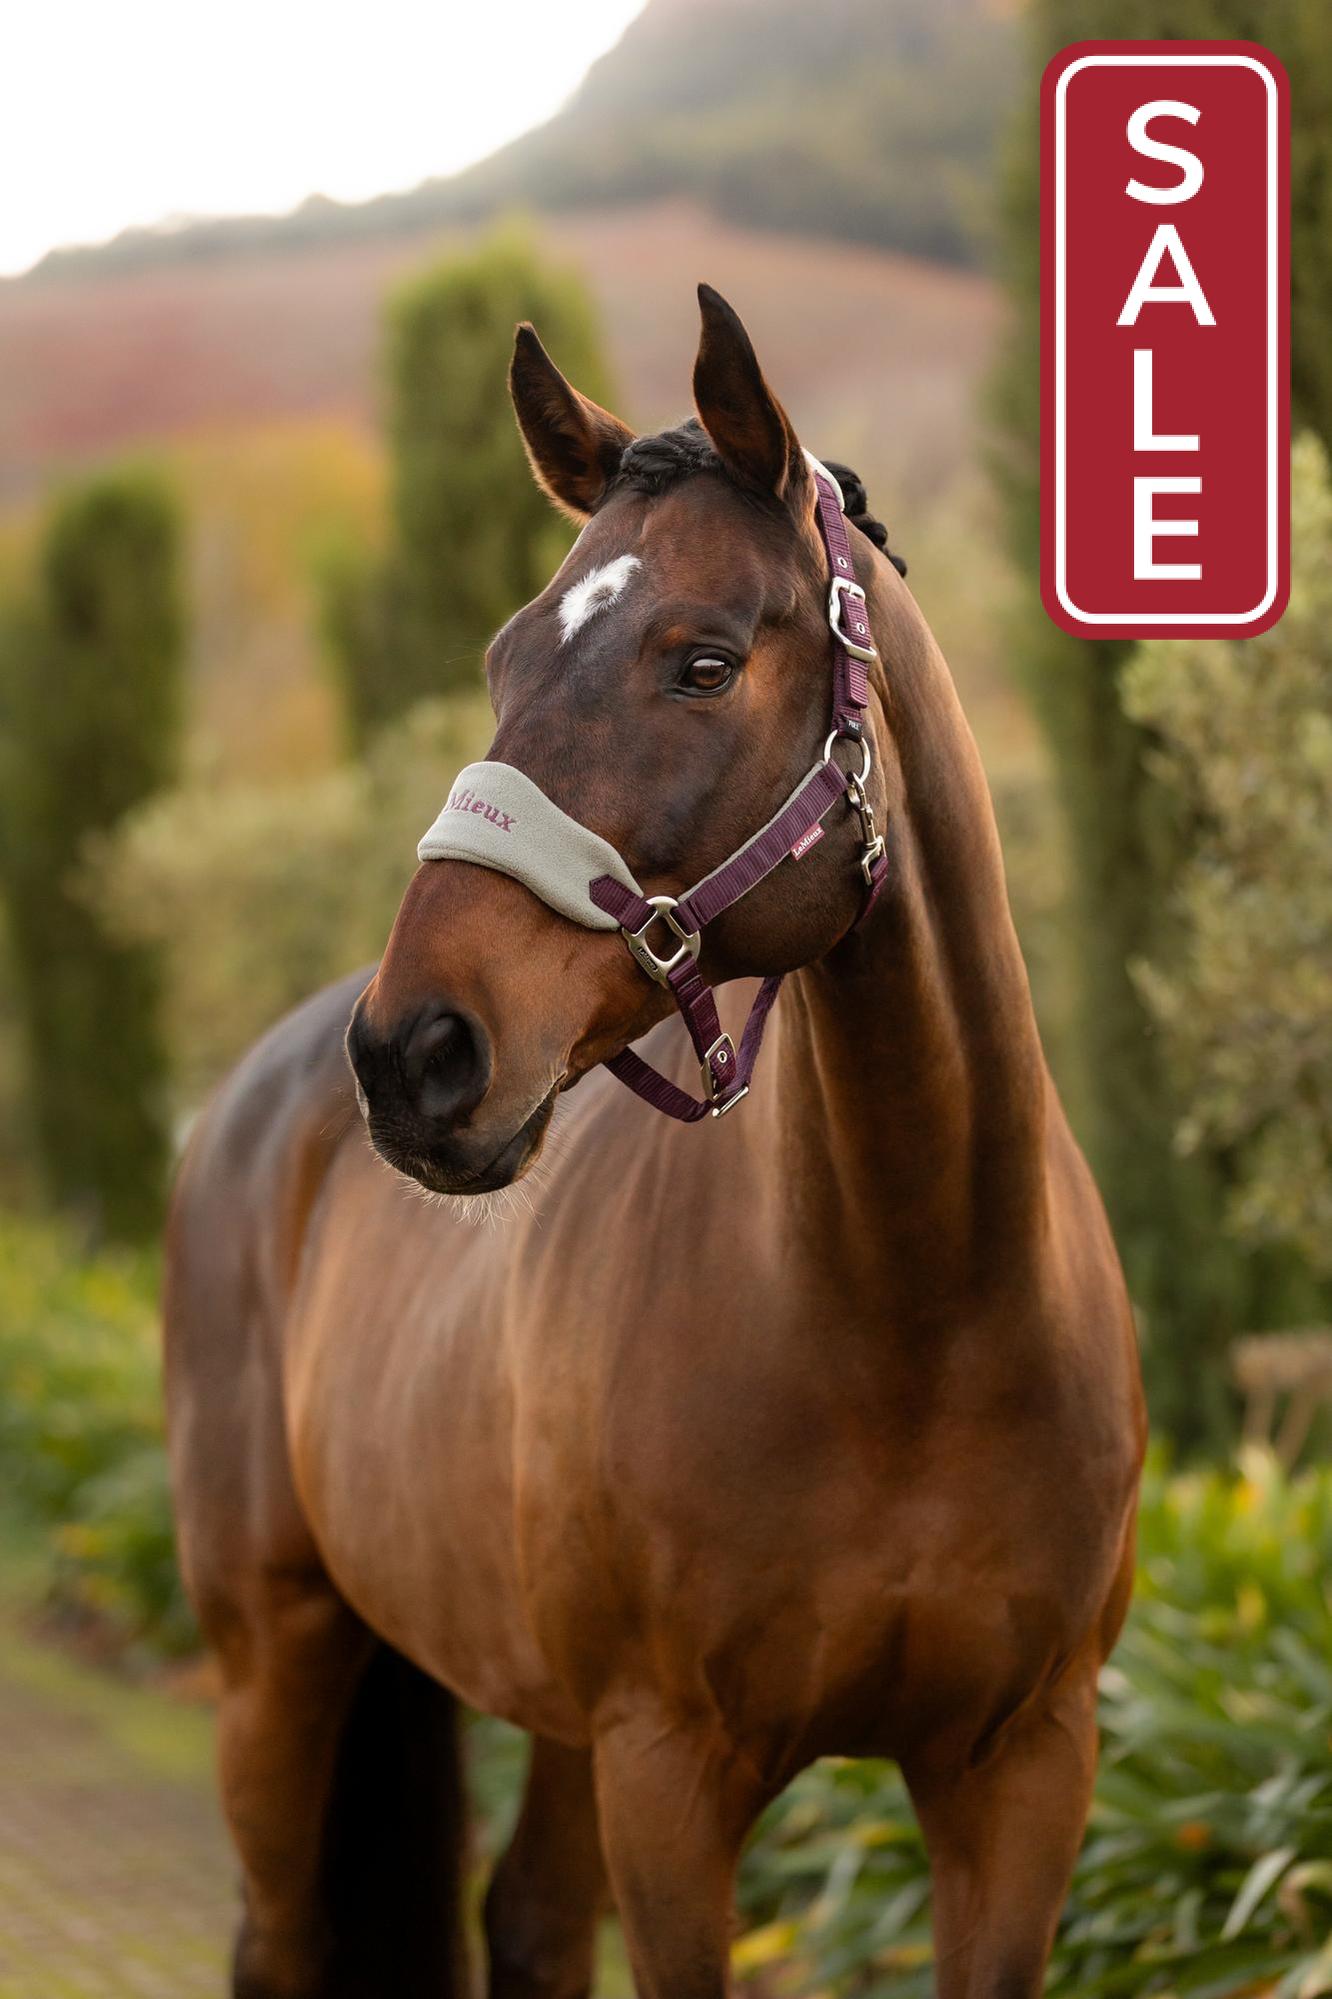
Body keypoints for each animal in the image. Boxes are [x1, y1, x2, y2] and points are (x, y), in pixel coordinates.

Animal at [164, 284, 1146, 1999]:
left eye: (701, 661)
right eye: (504, 657)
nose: (414, 1052)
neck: (922, 1309)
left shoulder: (1025, 1771)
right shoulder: (672, 1772)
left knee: (528, 1921)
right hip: (277, 1657)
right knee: (279, 1938)